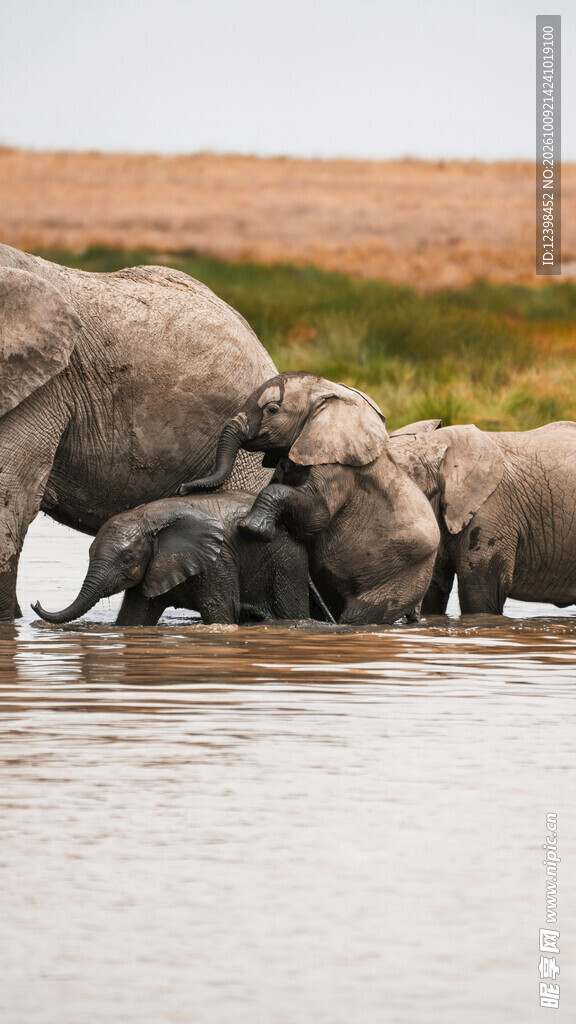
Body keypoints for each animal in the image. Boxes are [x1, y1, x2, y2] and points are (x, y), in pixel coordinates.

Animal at [32, 492, 311, 625]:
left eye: (127, 559)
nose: (35, 603)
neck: (148, 517)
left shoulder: (217, 561)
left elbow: (220, 614)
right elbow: (133, 618)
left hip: (287, 563)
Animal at [178, 372, 441, 625]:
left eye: (272, 409)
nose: (182, 489)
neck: (330, 397)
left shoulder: (338, 469)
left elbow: (314, 517)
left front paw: (252, 528)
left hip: (401, 578)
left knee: (360, 614)